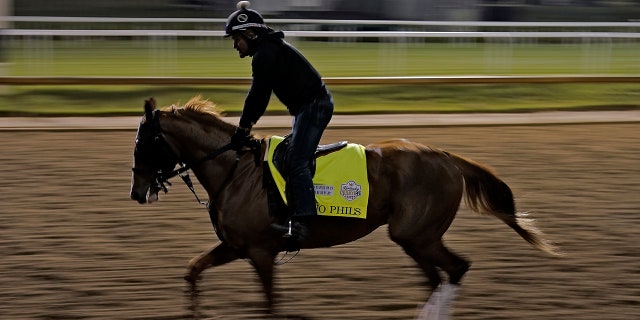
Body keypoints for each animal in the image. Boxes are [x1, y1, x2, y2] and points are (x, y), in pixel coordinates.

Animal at [129, 97, 556, 316]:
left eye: (145, 143)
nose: (137, 191)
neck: (236, 171)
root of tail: (448, 158)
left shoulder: (261, 251)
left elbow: (270, 305)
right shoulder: (237, 246)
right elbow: (192, 270)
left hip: (416, 235)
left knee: (455, 270)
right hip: (416, 239)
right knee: (437, 277)